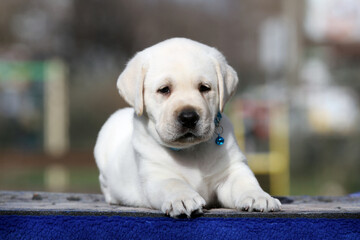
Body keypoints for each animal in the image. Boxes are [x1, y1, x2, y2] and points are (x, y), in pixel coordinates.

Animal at [93, 38, 282, 218]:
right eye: (164, 90)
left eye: (204, 88)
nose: (189, 117)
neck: (190, 150)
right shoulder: (156, 176)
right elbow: (173, 183)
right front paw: (183, 199)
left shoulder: (232, 170)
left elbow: (245, 182)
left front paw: (259, 196)